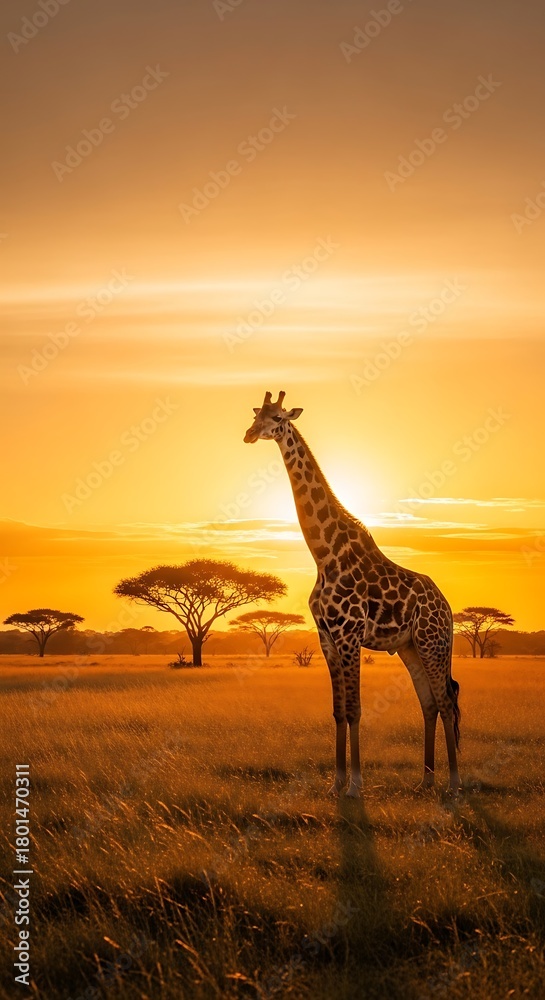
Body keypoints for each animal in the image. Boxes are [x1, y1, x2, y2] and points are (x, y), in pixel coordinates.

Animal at [244, 391, 461, 797]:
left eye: (278, 417)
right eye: (255, 415)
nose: (249, 434)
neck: (324, 554)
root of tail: (449, 609)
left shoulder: (348, 635)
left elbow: (356, 708)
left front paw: (356, 785)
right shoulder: (327, 638)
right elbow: (338, 711)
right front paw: (337, 782)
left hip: (432, 642)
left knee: (446, 700)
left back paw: (454, 783)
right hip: (409, 646)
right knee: (428, 703)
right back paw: (425, 779)